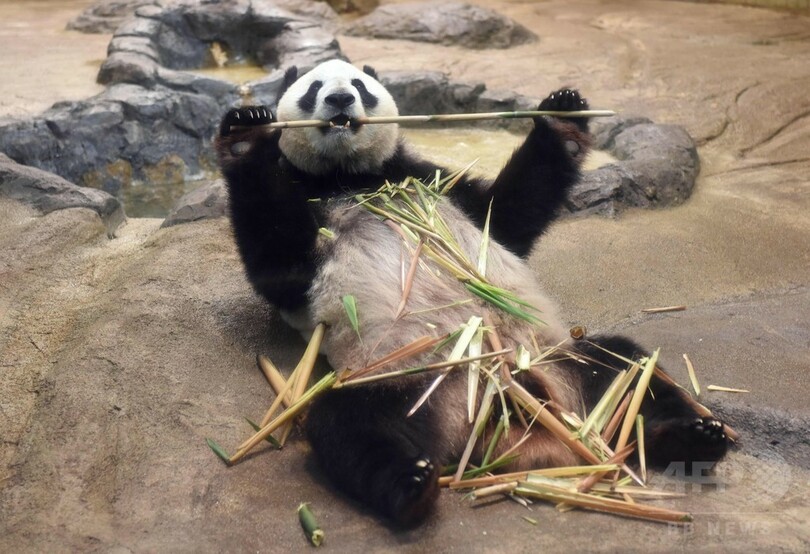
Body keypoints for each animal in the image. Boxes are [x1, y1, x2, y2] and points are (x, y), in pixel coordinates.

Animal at [213, 60, 724, 528]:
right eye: (314, 87)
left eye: (359, 84)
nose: (340, 99)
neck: (349, 176)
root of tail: (498, 412)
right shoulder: (306, 213)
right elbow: (279, 264)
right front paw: (245, 135)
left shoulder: (430, 179)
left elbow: (507, 215)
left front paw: (561, 115)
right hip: (412, 379)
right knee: (352, 424)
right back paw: (411, 486)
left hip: (555, 358)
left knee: (628, 368)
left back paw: (694, 434)